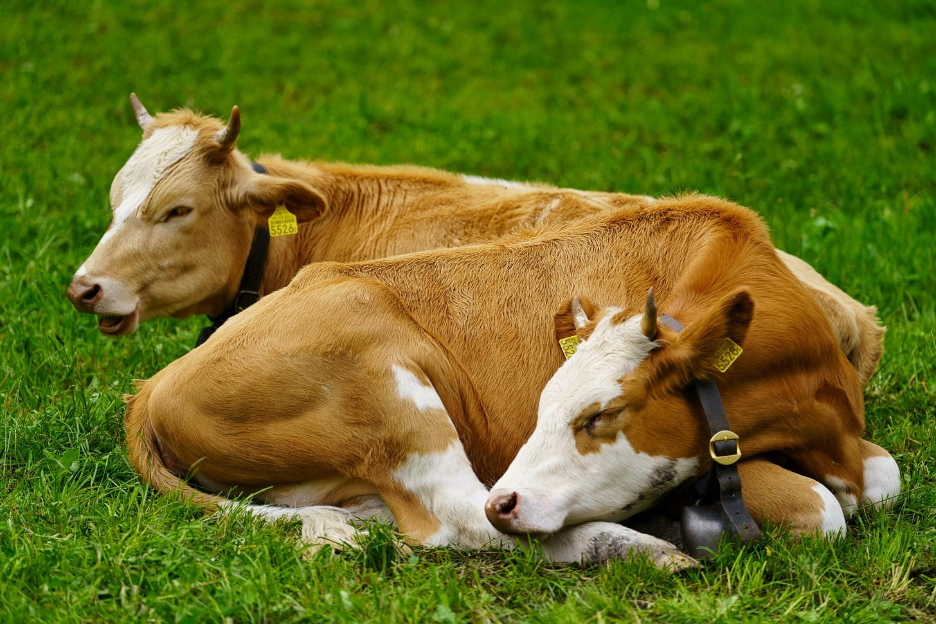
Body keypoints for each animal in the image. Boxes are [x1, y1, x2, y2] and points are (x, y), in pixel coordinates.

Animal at [124, 194, 887, 567]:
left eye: (598, 415)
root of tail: (155, 383)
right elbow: (824, 510)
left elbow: (885, 478)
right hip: (388, 383)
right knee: (463, 519)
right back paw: (631, 544)